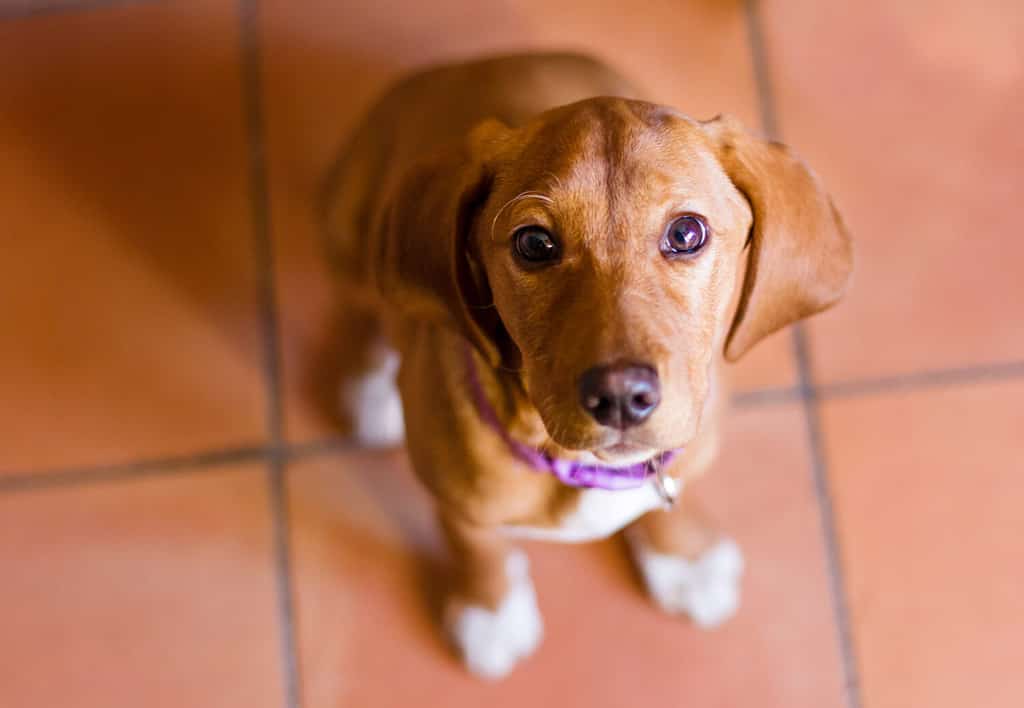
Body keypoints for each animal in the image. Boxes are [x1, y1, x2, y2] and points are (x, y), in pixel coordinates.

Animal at [323, 52, 851, 680]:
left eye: (687, 233)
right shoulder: (456, 498)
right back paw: (370, 390)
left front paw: (684, 557)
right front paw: (491, 610)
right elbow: (478, 545)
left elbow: (672, 490)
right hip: (350, 238)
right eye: (534, 244)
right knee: (365, 310)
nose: (621, 397)